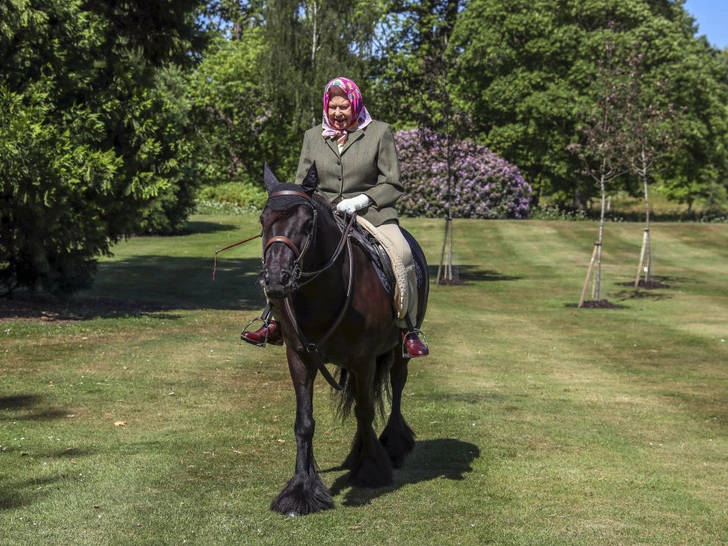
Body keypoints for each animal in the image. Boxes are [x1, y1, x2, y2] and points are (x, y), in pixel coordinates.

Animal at [258, 163, 426, 516]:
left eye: (307, 224)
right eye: (263, 220)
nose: (276, 279)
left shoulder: (363, 359)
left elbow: (365, 412)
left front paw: (370, 470)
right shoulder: (299, 357)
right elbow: (304, 423)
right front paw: (301, 490)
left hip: (400, 350)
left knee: (397, 385)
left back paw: (393, 445)